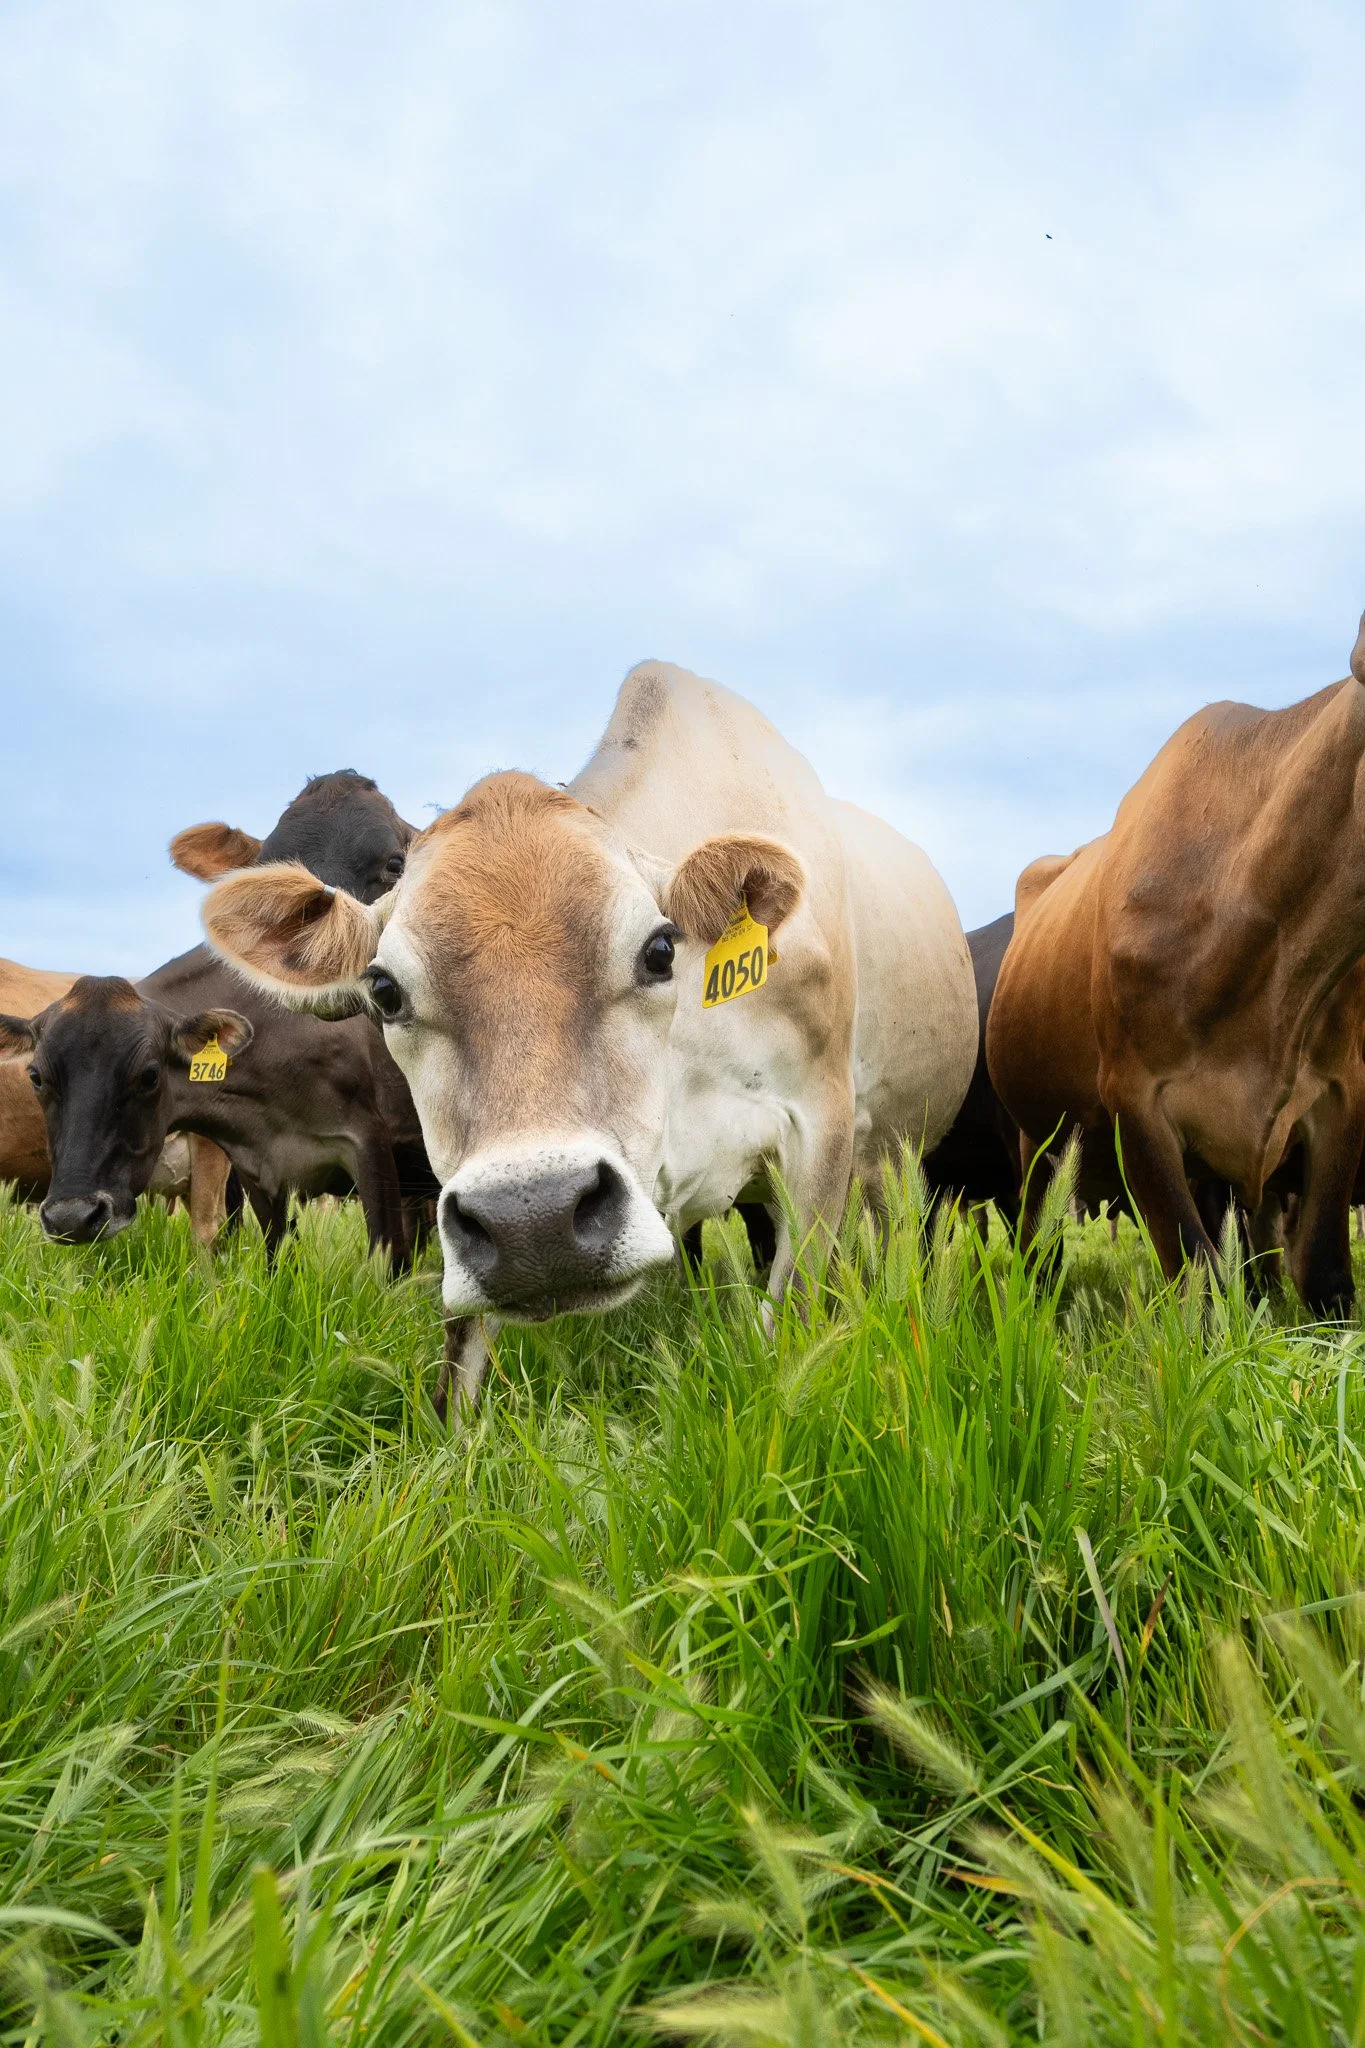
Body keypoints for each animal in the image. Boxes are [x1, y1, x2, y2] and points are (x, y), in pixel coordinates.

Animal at [199, 661, 979, 1412]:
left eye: (660, 950)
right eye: (386, 990)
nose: (533, 1219)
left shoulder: (822, 1130)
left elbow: (792, 1311)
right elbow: (459, 1363)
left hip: (895, 1161)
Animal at [986, 608, 1365, 1315]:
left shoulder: (1339, 1094)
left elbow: (1324, 1276)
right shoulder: (1135, 1102)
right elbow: (1199, 1279)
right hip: (1037, 1138)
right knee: (1039, 1243)